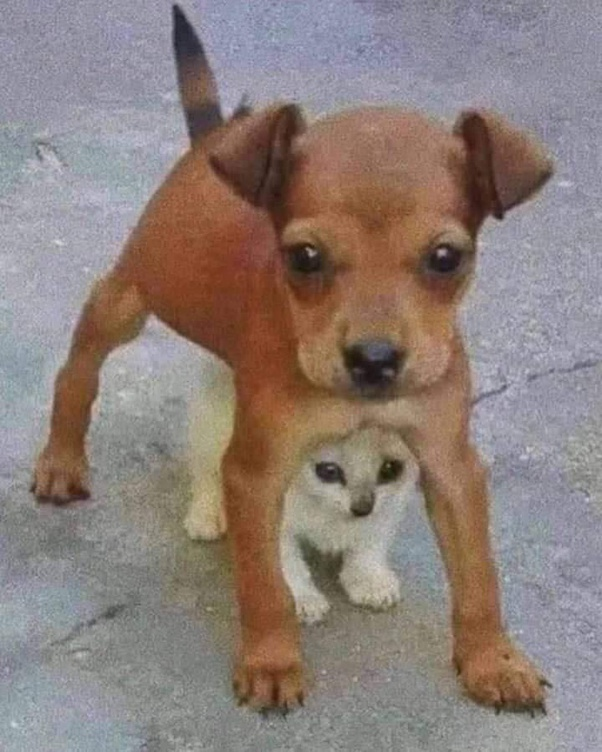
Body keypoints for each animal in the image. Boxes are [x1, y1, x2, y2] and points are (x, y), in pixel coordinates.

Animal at [186, 358, 418, 624]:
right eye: (328, 471)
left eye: (390, 469)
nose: (362, 507)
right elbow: (285, 562)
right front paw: (301, 598)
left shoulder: (391, 502)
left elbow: (371, 540)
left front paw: (370, 580)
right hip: (215, 422)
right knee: (207, 468)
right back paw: (206, 515)